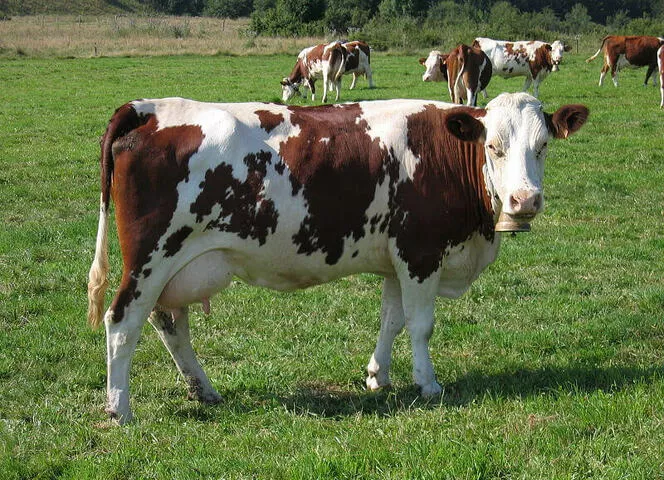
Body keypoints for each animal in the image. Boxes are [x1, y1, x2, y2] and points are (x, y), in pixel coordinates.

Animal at [88, 93, 588, 424]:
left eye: (543, 146)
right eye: (493, 146)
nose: (525, 200)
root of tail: (146, 108)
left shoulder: (396, 257)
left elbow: (392, 319)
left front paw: (377, 377)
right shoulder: (420, 252)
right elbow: (421, 325)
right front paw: (427, 384)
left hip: (176, 266)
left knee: (169, 322)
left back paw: (203, 389)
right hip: (152, 255)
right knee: (122, 322)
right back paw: (120, 408)